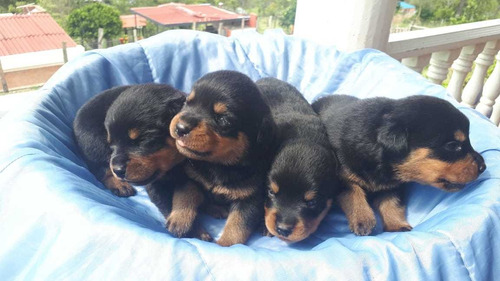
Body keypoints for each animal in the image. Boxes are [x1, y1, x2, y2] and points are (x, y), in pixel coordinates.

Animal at [72, 83, 209, 238]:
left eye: (143, 141)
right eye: (112, 145)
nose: (118, 170)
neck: (175, 166)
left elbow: (187, 195)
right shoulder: (155, 185)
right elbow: (168, 203)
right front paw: (195, 231)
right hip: (95, 144)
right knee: (102, 169)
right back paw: (119, 185)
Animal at [170, 70, 276, 245]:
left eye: (223, 120)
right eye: (187, 102)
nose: (181, 128)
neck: (217, 165)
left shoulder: (250, 198)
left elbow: (237, 227)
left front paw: (224, 245)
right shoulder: (190, 176)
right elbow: (186, 194)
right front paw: (179, 219)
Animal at [312, 95, 484, 235]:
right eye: (453, 145)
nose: (483, 167)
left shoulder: (395, 185)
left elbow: (392, 203)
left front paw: (397, 226)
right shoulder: (341, 176)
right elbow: (353, 192)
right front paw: (363, 219)